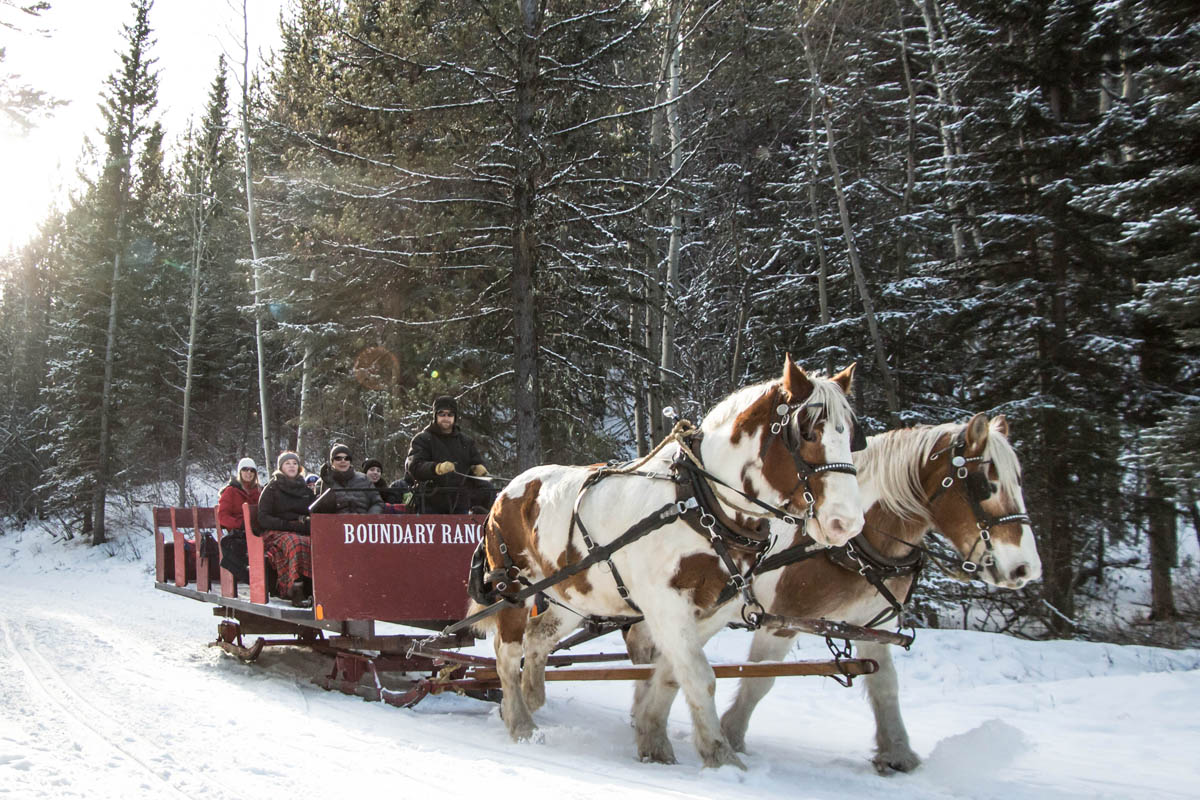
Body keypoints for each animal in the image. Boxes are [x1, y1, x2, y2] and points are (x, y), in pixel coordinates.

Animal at [468, 357, 864, 767]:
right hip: (514, 586)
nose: (846, 523)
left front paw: (652, 735)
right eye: (807, 433)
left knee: (537, 637)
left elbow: (672, 673)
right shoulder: (666, 604)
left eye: (852, 435)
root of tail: (508, 489)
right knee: (507, 653)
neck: (702, 504)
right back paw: (520, 723)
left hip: (571, 593)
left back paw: (530, 698)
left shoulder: (715, 609)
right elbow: (699, 675)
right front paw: (721, 755)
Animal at [715, 412, 1046, 767]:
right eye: (986, 485)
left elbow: (885, 684)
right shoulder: (780, 621)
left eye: (1019, 481)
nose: (1026, 568)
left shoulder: (869, 626)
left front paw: (897, 752)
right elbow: (759, 679)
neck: (850, 545)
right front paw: (731, 735)